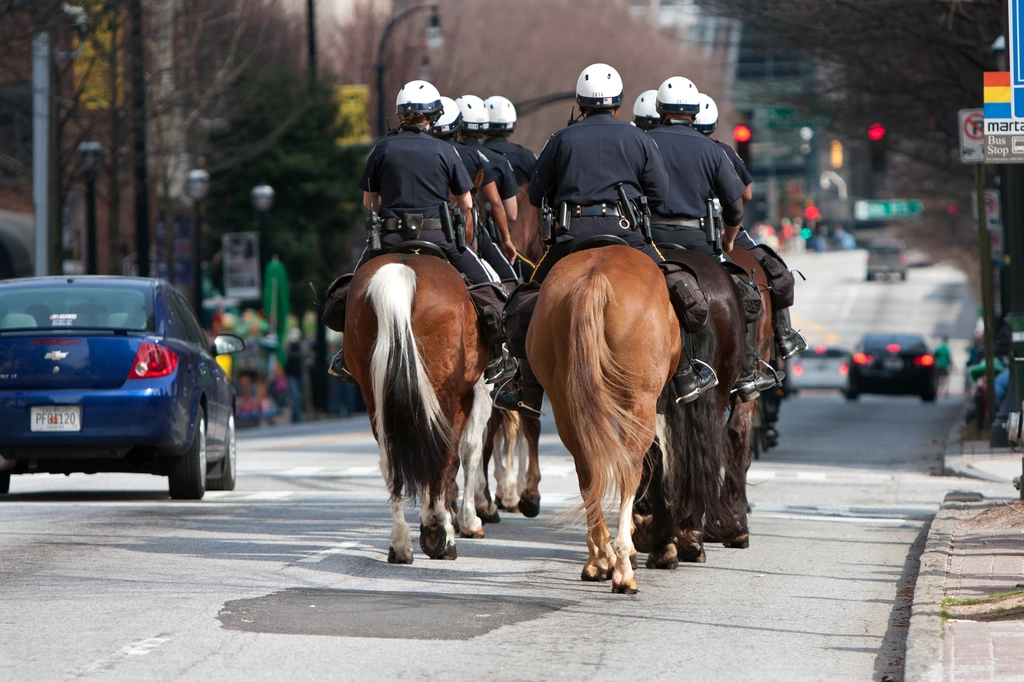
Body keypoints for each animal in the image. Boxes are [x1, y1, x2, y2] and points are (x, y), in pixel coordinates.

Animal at [344, 251, 487, 561]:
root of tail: (400, 273)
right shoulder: (477, 391)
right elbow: (468, 453)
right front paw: (464, 521)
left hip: (374, 396)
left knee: (391, 461)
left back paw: (399, 543)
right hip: (444, 395)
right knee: (442, 457)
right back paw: (439, 532)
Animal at [528, 246, 679, 593]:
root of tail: (594, 278)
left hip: (565, 403)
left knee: (587, 469)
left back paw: (598, 558)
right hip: (639, 402)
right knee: (629, 469)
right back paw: (623, 567)